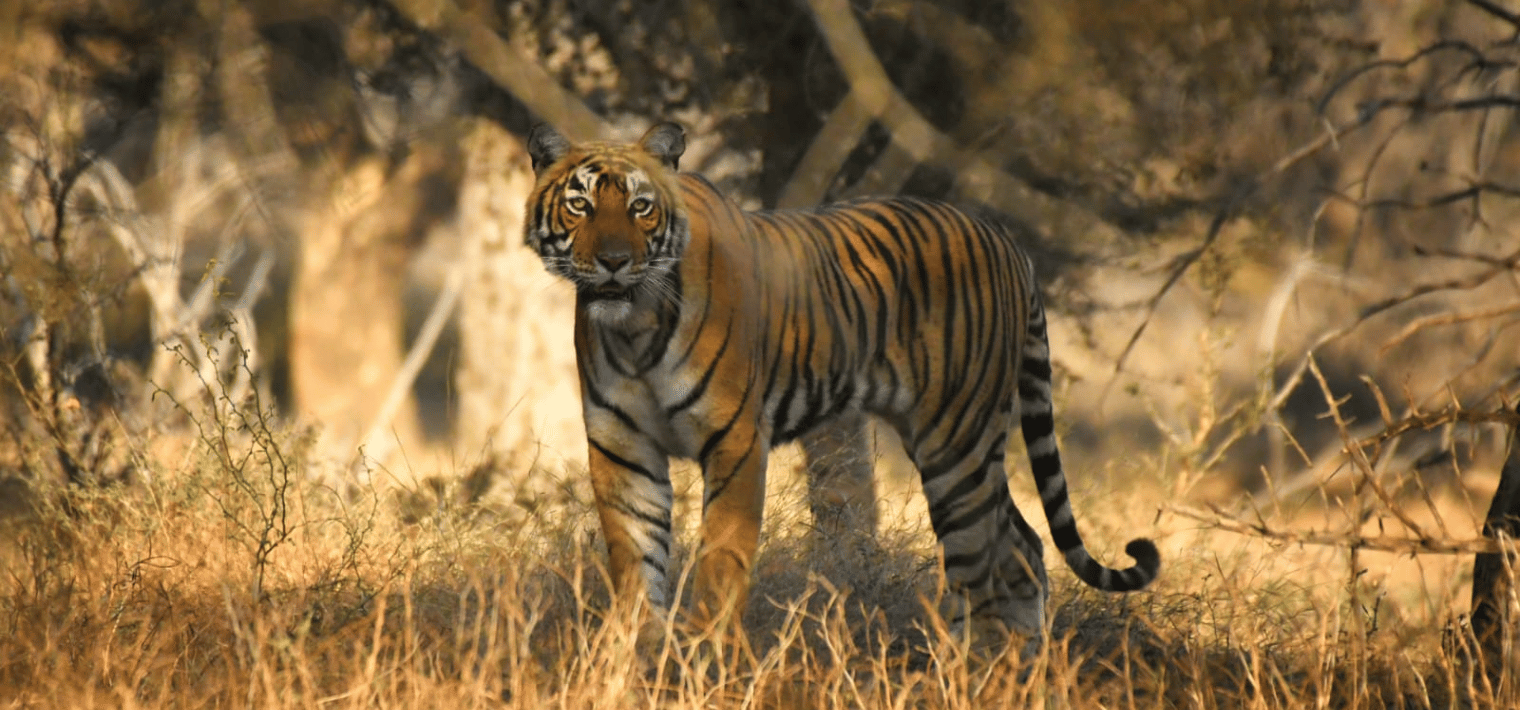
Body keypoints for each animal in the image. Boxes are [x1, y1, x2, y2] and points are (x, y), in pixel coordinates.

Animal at [521, 121, 1160, 650]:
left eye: (641, 208)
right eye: (579, 205)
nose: (613, 261)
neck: (636, 327)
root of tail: (1008, 241)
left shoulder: (735, 442)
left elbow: (721, 559)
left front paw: (706, 655)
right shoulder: (622, 446)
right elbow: (636, 560)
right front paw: (635, 657)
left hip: (958, 443)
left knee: (981, 564)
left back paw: (969, 670)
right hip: (962, 447)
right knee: (1021, 547)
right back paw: (1020, 667)